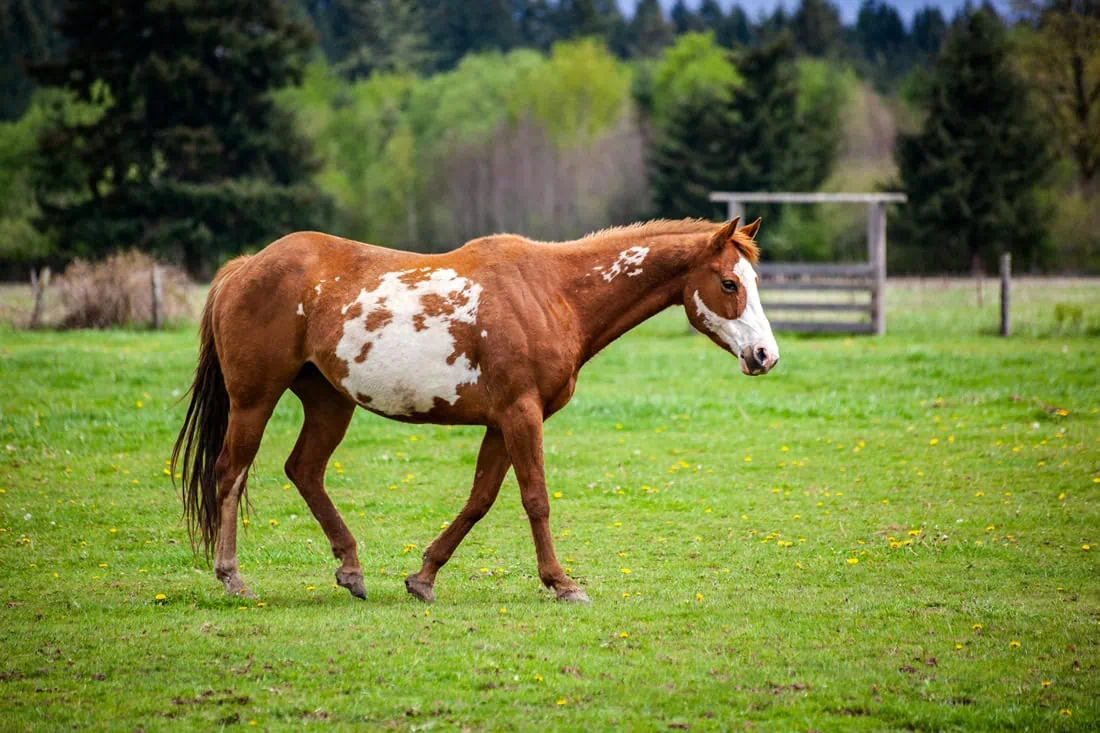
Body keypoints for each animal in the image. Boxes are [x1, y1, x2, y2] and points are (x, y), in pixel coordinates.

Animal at [171, 216, 779, 604]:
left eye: (755, 281)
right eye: (729, 283)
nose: (765, 355)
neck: (552, 292)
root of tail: (246, 266)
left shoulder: (502, 422)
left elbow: (480, 500)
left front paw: (423, 577)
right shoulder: (520, 415)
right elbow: (535, 500)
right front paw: (562, 583)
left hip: (329, 402)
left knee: (303, 471)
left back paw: (351, 567)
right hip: (255, 399)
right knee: (230, 473)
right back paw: (232, 578)